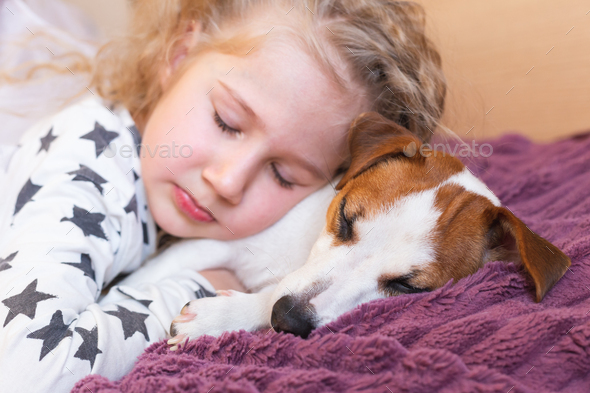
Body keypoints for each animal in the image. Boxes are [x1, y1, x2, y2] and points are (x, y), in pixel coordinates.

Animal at [119, 111, 572, 346]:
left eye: (407, 287)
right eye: (345, 218)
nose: (289, 318)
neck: (295, 256)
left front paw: (225, 316)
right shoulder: (212, 243)